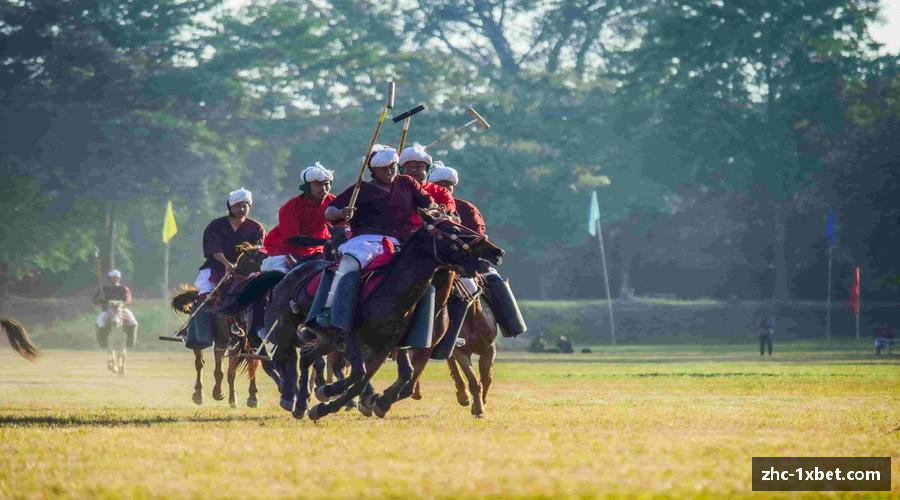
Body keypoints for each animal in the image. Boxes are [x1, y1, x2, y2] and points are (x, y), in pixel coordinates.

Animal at [168, 244, 268, 408]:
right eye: (258, 257)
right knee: (199, 363)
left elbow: (242, 367)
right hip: (199, 337)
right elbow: (219, 370)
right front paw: (218, 393)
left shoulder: (241, 343)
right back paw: (198, 394)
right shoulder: (222, 340)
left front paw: (247, 398)